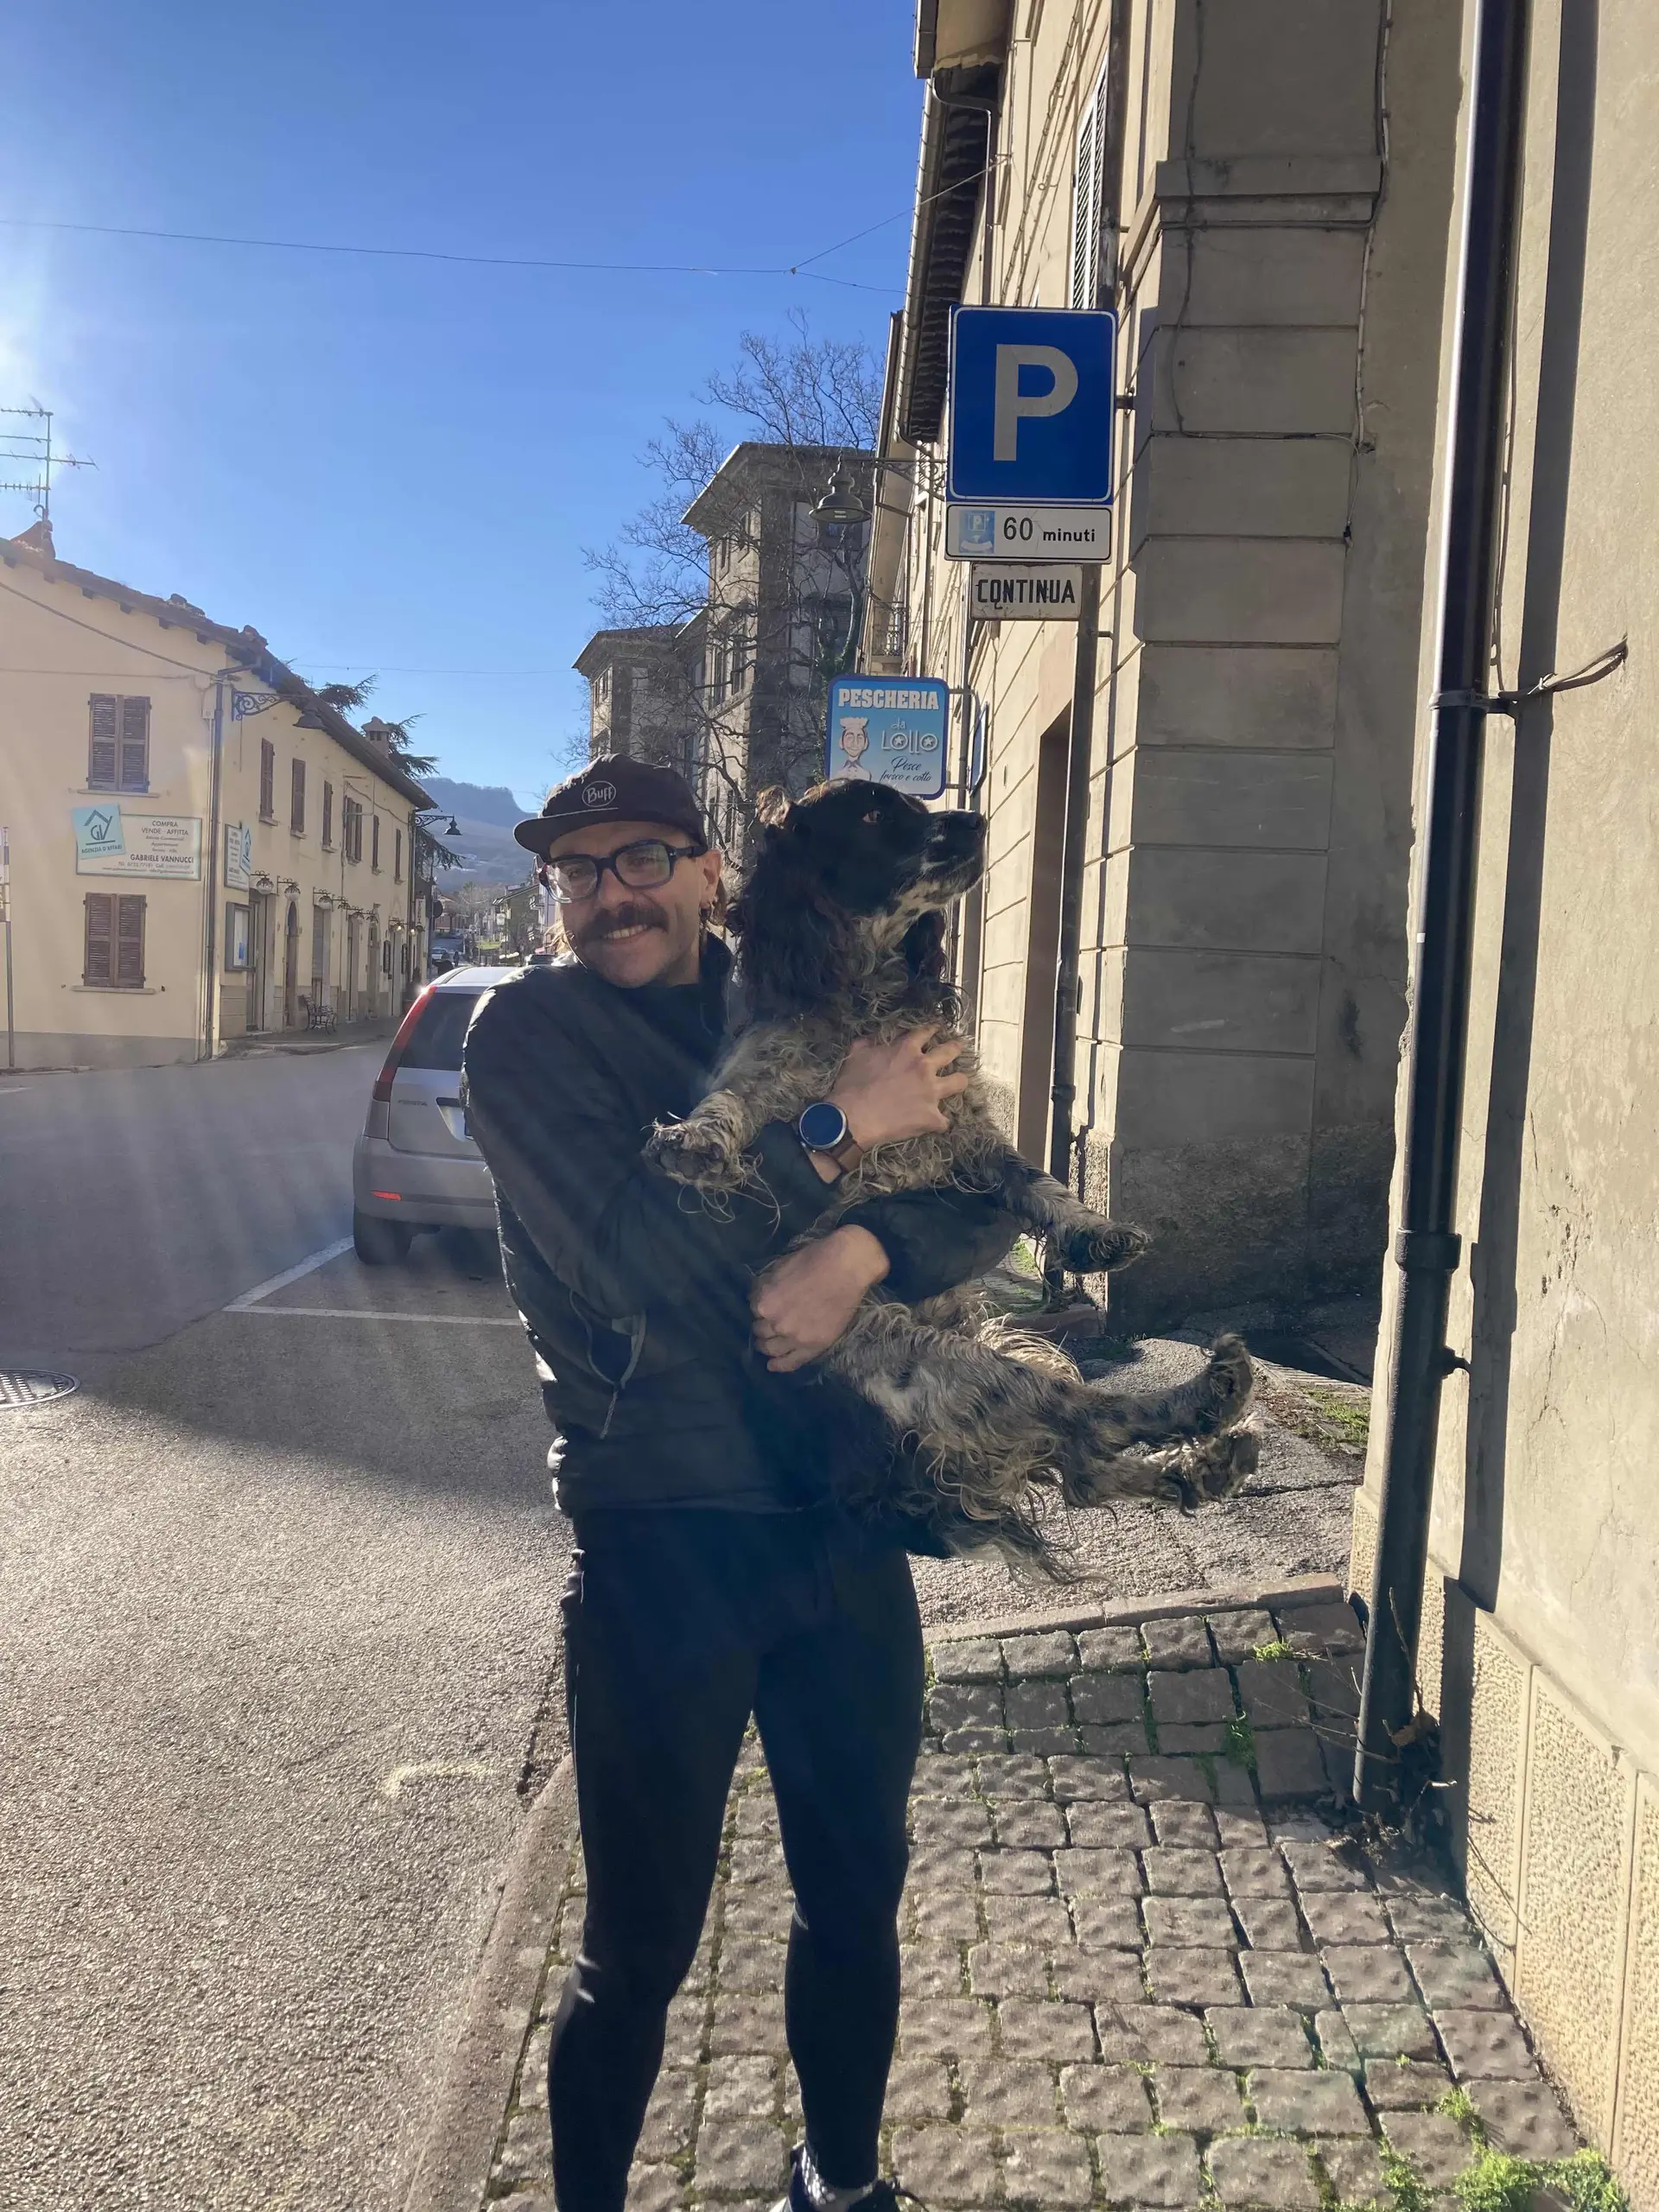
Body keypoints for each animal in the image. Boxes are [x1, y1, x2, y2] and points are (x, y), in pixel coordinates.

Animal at [645, 780, 1257, 1572]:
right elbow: (734, 1100)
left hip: (988, 1348)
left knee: (1083, 1458)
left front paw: (1096, 1233)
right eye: (875, 813)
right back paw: (1212, 1406)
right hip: (951, 1364)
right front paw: (693, 1140)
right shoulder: (766, 1073)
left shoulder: (967, 1131)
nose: (975, 817)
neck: (861, 996)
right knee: (1086, 1430)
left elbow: (1037, 1182)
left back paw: (1208, 1462)